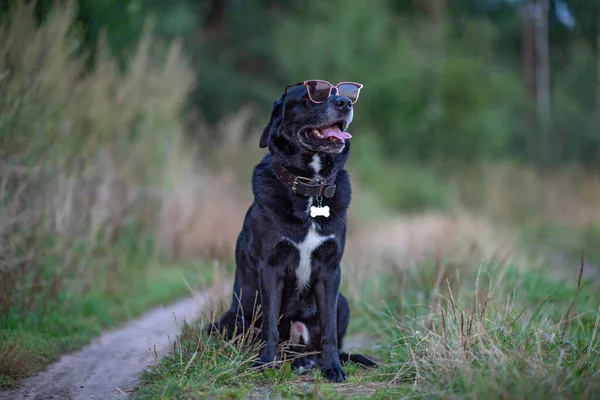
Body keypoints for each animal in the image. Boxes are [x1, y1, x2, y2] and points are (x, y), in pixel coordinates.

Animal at [211, 79, 376, 382]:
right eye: (314, 95)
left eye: (344, 92)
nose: (345, 104)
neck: (311, 187)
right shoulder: (270, 267)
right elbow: (270, 326)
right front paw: (265, 363)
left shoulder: (330, 270)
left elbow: (329, 330)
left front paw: (333, 368)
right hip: (229, 319)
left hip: (343, 302)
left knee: (322, 344)